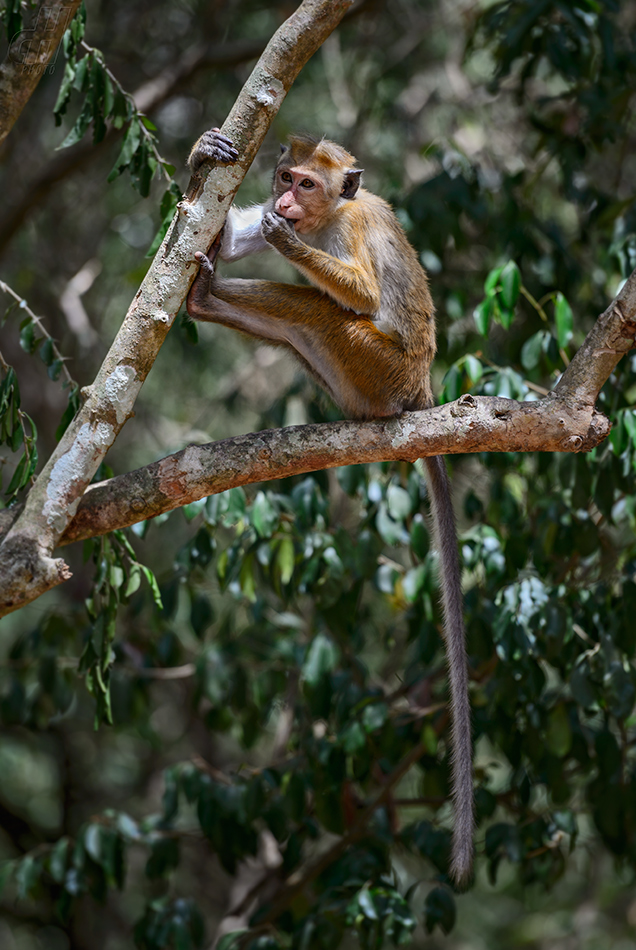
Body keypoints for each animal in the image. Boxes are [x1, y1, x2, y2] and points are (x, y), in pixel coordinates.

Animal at [184, 126, 472, 884]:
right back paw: (203, 300)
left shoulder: (358, 226)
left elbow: (364, 290)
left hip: (375, 366)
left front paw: (286, 241)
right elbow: (231, 235)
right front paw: (203, 156)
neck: (331, 217)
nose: (284, 201)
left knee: (317, 306)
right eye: (284, 177)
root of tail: (418, 394)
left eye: (305, 185)